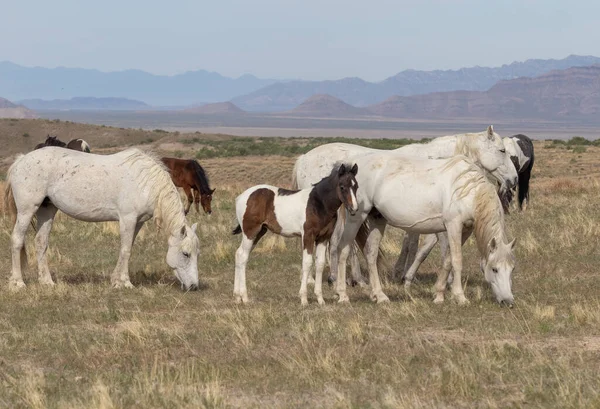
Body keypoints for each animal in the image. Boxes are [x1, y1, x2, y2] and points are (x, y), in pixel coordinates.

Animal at [4, 147, 202, 290]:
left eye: (197, 254)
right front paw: (125, 282)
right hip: (27, 210)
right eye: (186, 254)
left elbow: (127, 249)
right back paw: (18, 282)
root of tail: (21, 160)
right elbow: (126, 251)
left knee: (41, 242)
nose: (193, 286)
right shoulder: (128, 220)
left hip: (47, 210)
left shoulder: (137, 222)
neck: (145, 182)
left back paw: (47, 281)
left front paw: (116, 280)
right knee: (17, 240)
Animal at [233, 163, 356, 302]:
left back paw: (237, 297)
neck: (318, 203)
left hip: (259, 232)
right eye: (342, 186)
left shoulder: (323, 238)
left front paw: (320, 299)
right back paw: (244, 297)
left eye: (356, 186)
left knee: (239, 254)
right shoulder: (308, 236)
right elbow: (307, 263)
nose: (354, 208)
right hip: (250, 232)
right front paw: (304, 299)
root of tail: (241, 197)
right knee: (242, 256)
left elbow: (320, 264)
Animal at [292, 124, 516, 284]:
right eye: (502, 150)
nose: (513, 180)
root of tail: (303, 159)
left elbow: (416, 245)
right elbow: (433, 246)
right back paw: (337, 278)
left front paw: (405, 274)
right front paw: (444, 280)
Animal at [332, 154, 516, 306]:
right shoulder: (453, 225)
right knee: (343, 250)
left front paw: (439, 295)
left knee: (371, 254)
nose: (508, 301)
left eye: (512, 269)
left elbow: (447, 260)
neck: (468, 189)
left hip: (377, 219)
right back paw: (342, 295)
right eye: (494, 269)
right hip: (356, 217)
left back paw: (379, 295)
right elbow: (457, 261)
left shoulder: (465, 230)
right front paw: (460, 296)